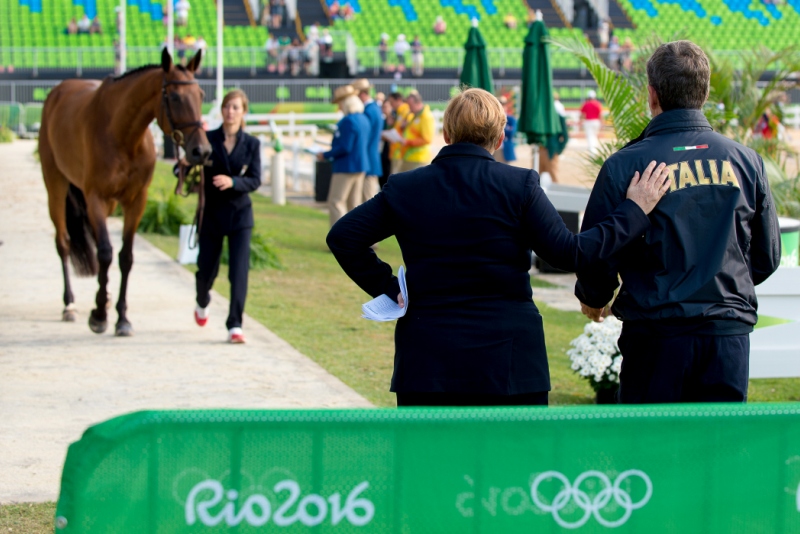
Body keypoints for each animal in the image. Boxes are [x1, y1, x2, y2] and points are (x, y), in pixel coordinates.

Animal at [38, 49, 211, 336]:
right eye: (174, 96)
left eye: (201, 95)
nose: (202, 151)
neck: (123, 135)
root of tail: (57, 93)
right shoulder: (96, 197)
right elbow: (106, 253)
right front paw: (98, 316)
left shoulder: (135, 201)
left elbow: (125, 257)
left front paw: (121, 318)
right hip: (56, 185)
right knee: (63, 242)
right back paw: (70, 305)